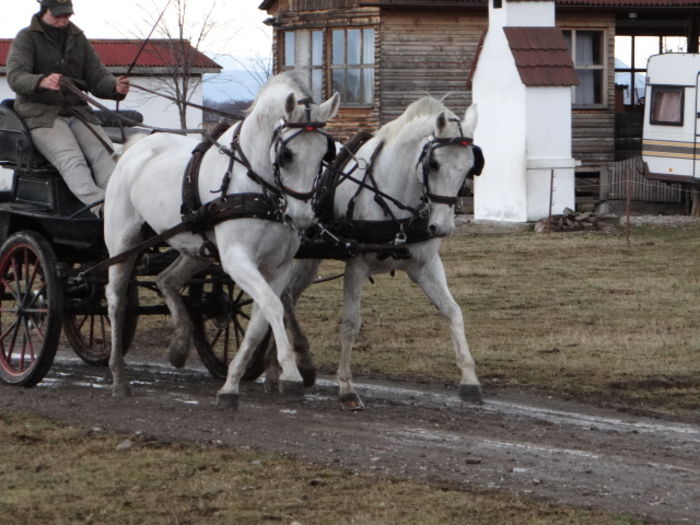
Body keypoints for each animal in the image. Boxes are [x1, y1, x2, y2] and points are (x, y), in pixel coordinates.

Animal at [105, 70, 340, 406]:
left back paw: (179, 345)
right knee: (115, 300)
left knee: (166, 280)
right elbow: (274, 306)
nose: (303, 218)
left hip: (194, 248)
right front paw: (291, 374)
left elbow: (260, 320)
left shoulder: (278, 267)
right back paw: (118, 376)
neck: (257, 186)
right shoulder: (236, 258)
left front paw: (230, 384)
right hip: (123, 241)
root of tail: (133, 146)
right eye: (287, 154)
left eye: (324, 154)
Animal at [262, 96, 482, 408]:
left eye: (470, 166)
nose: (442, 226)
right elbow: (351, 324)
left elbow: (453, 311)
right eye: (434, 164)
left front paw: (469, 379)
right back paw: (299, 364)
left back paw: (274, 369)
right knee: (284, 299)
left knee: (284, 298)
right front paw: (346, 388)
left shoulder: (426, 265)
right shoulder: (357, 264)